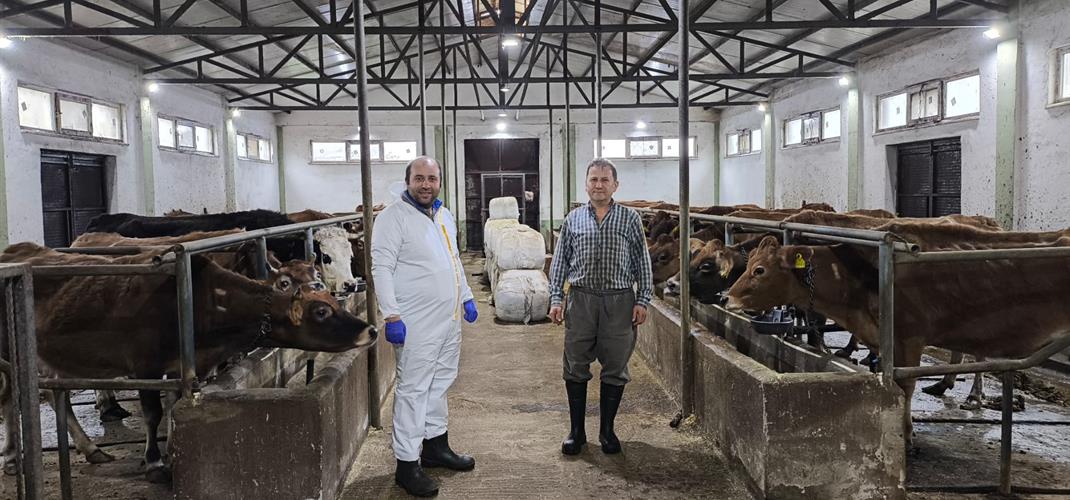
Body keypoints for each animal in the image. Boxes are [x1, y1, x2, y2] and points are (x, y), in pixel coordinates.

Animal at [723, 225, 1070, 445]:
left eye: (759, 270)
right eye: (750, 264)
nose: (728, 298)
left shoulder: (909, 337)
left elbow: (904, 388)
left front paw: (906, 435)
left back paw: (968, 395)